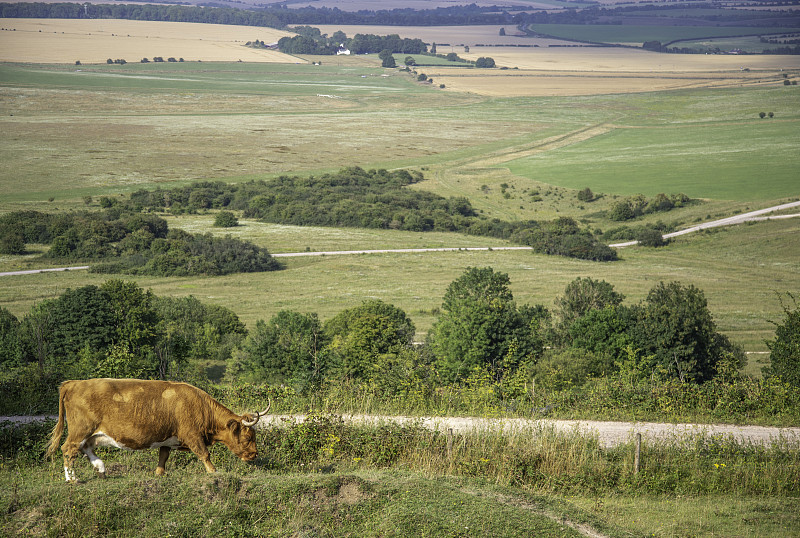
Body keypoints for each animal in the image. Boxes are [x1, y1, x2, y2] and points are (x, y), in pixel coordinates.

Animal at [45, 374, 270, 480]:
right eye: (248, 437)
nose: (254, 455)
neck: (200, 406)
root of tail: (74, 383)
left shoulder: (168, 438)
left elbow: (163, 456)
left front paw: (159, 473)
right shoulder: (192, 435)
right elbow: (204, 454)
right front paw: (214, 472)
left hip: (90, 434)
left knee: (85, 449)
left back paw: (100, 469)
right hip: (80, 430)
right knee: (69, 449)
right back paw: (72, 479)